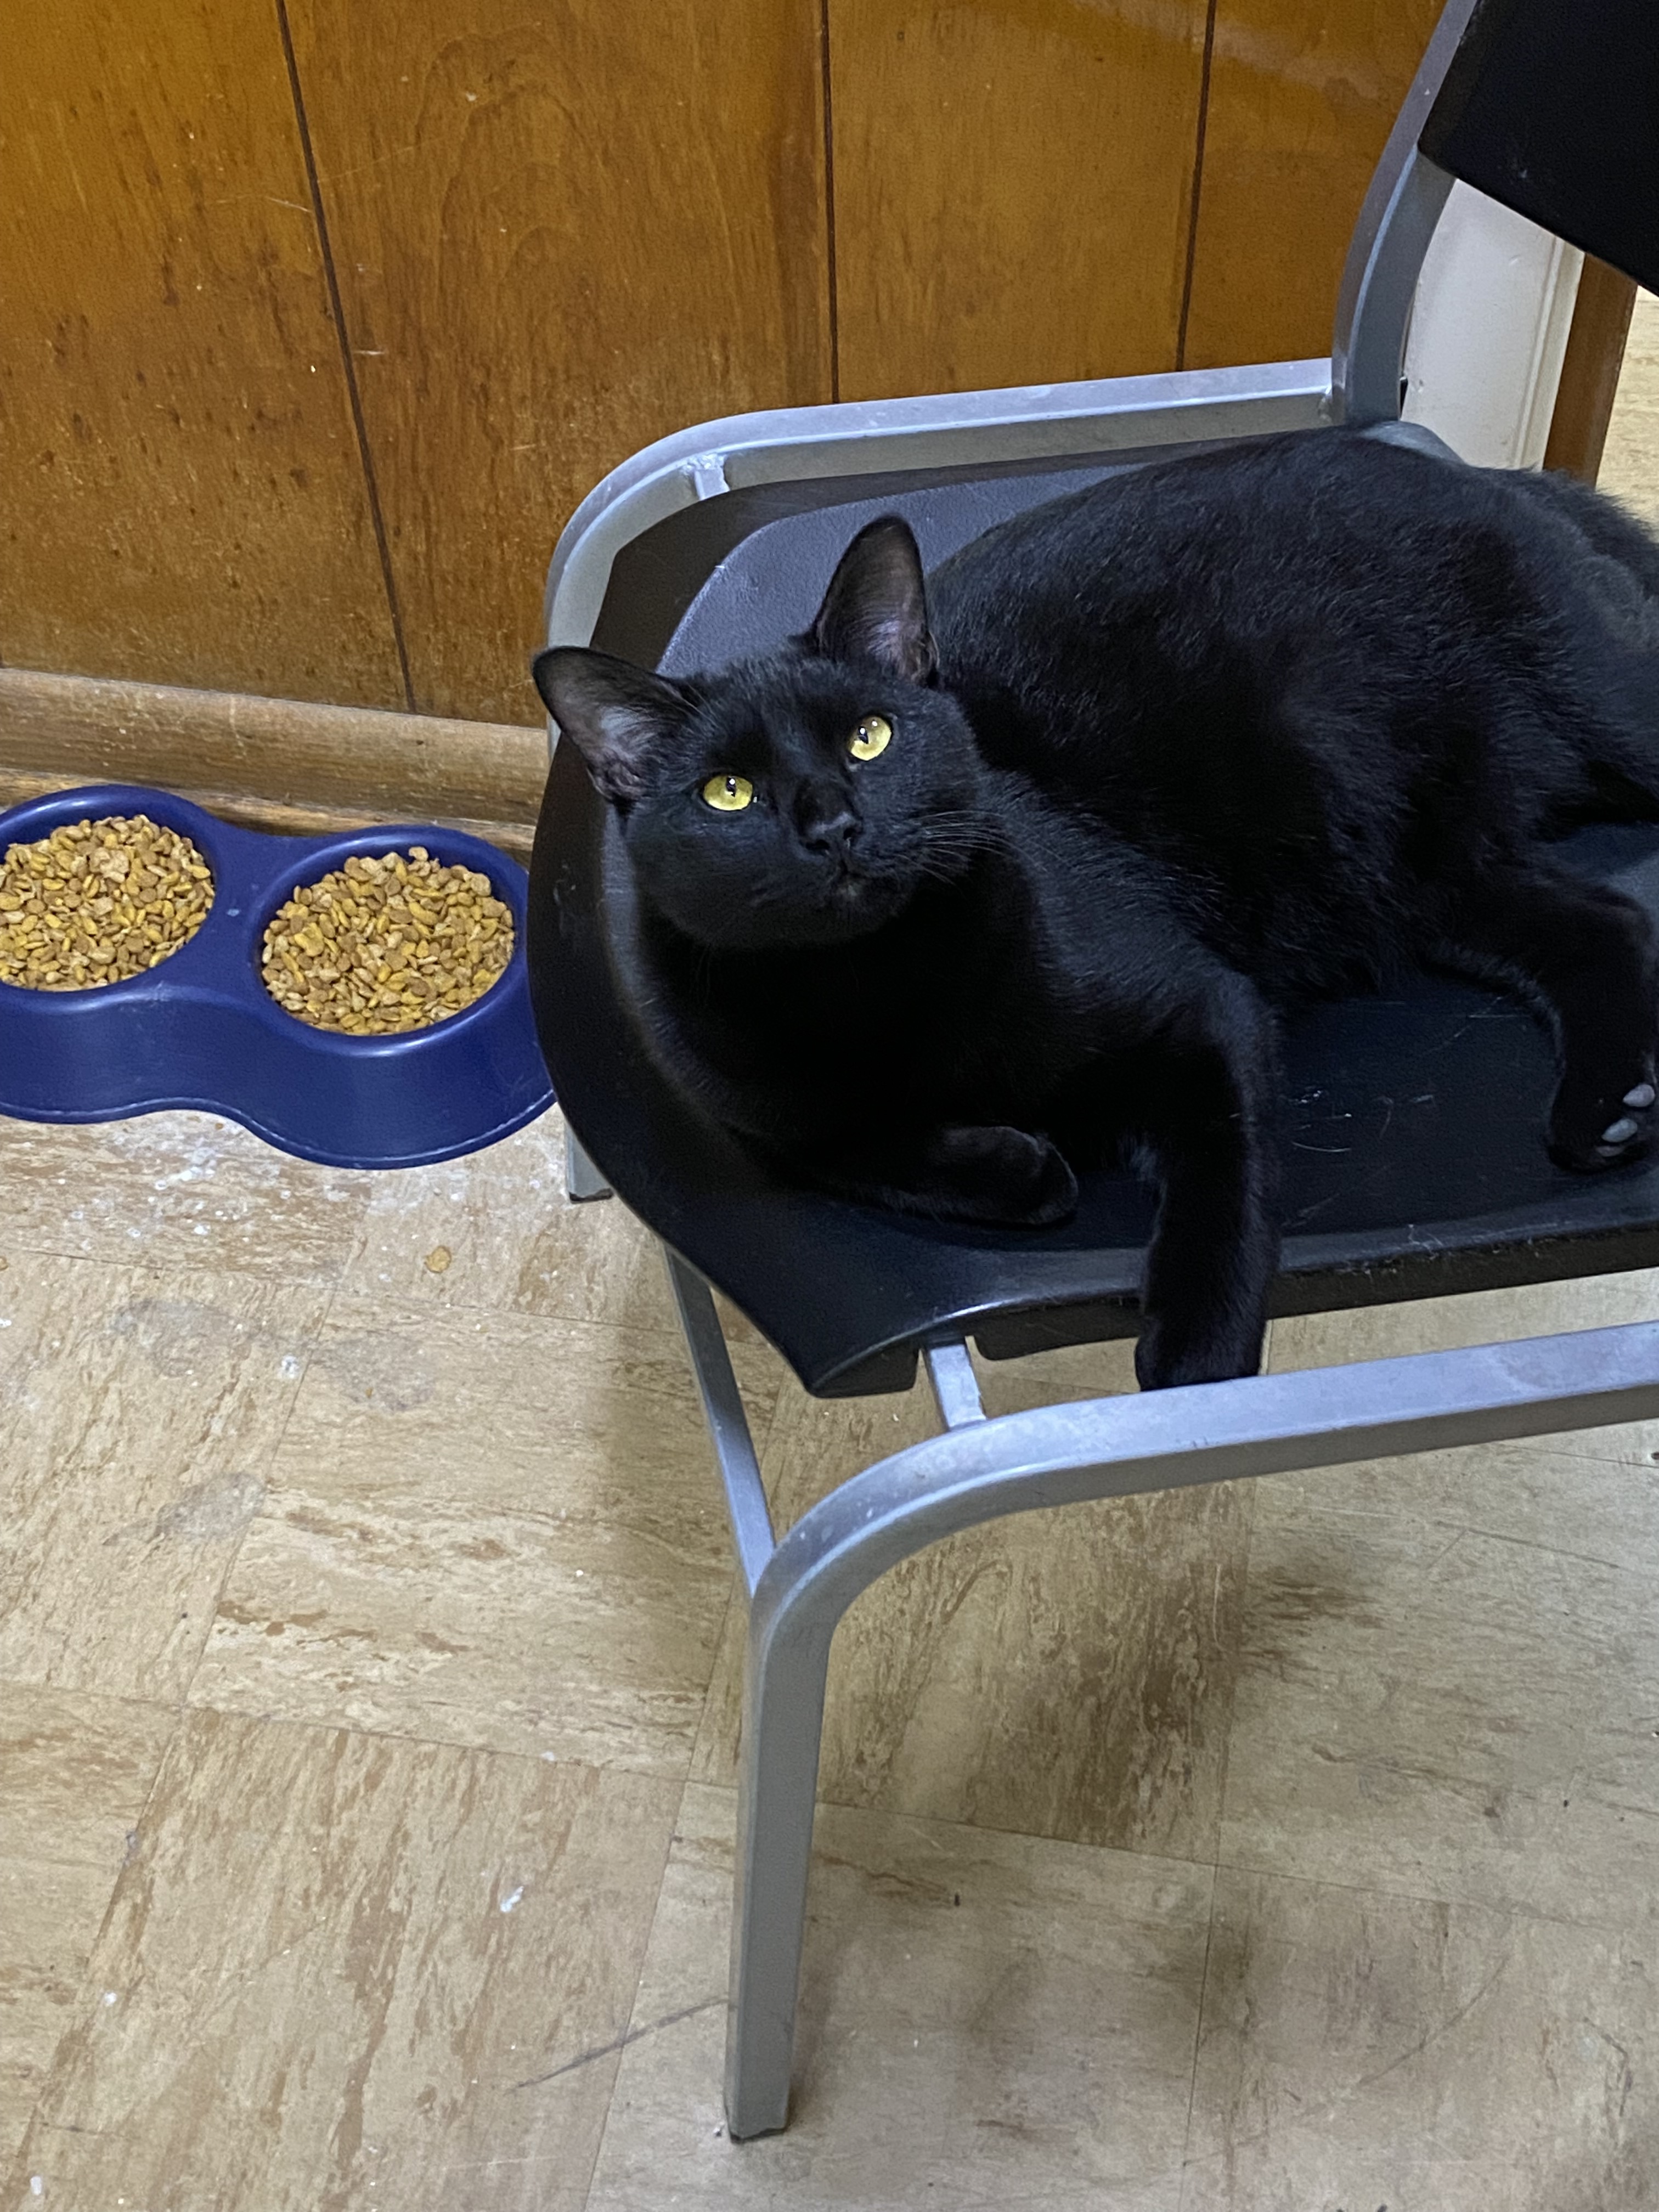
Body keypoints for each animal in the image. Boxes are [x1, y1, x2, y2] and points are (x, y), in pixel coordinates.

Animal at [533, 429, 1659, 1380]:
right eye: (728, 793)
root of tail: (1483, 474)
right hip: (1429, 876)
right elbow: (852, 1145)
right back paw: (1606, 1110)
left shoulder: (1204, 1012)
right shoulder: (750, 1108)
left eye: (869, 737)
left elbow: (1221, 1189)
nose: (832, 825)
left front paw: (1198, 1361)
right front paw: (1019, 1166)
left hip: (1596, 721)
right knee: (1606, 926)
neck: (873, 985)